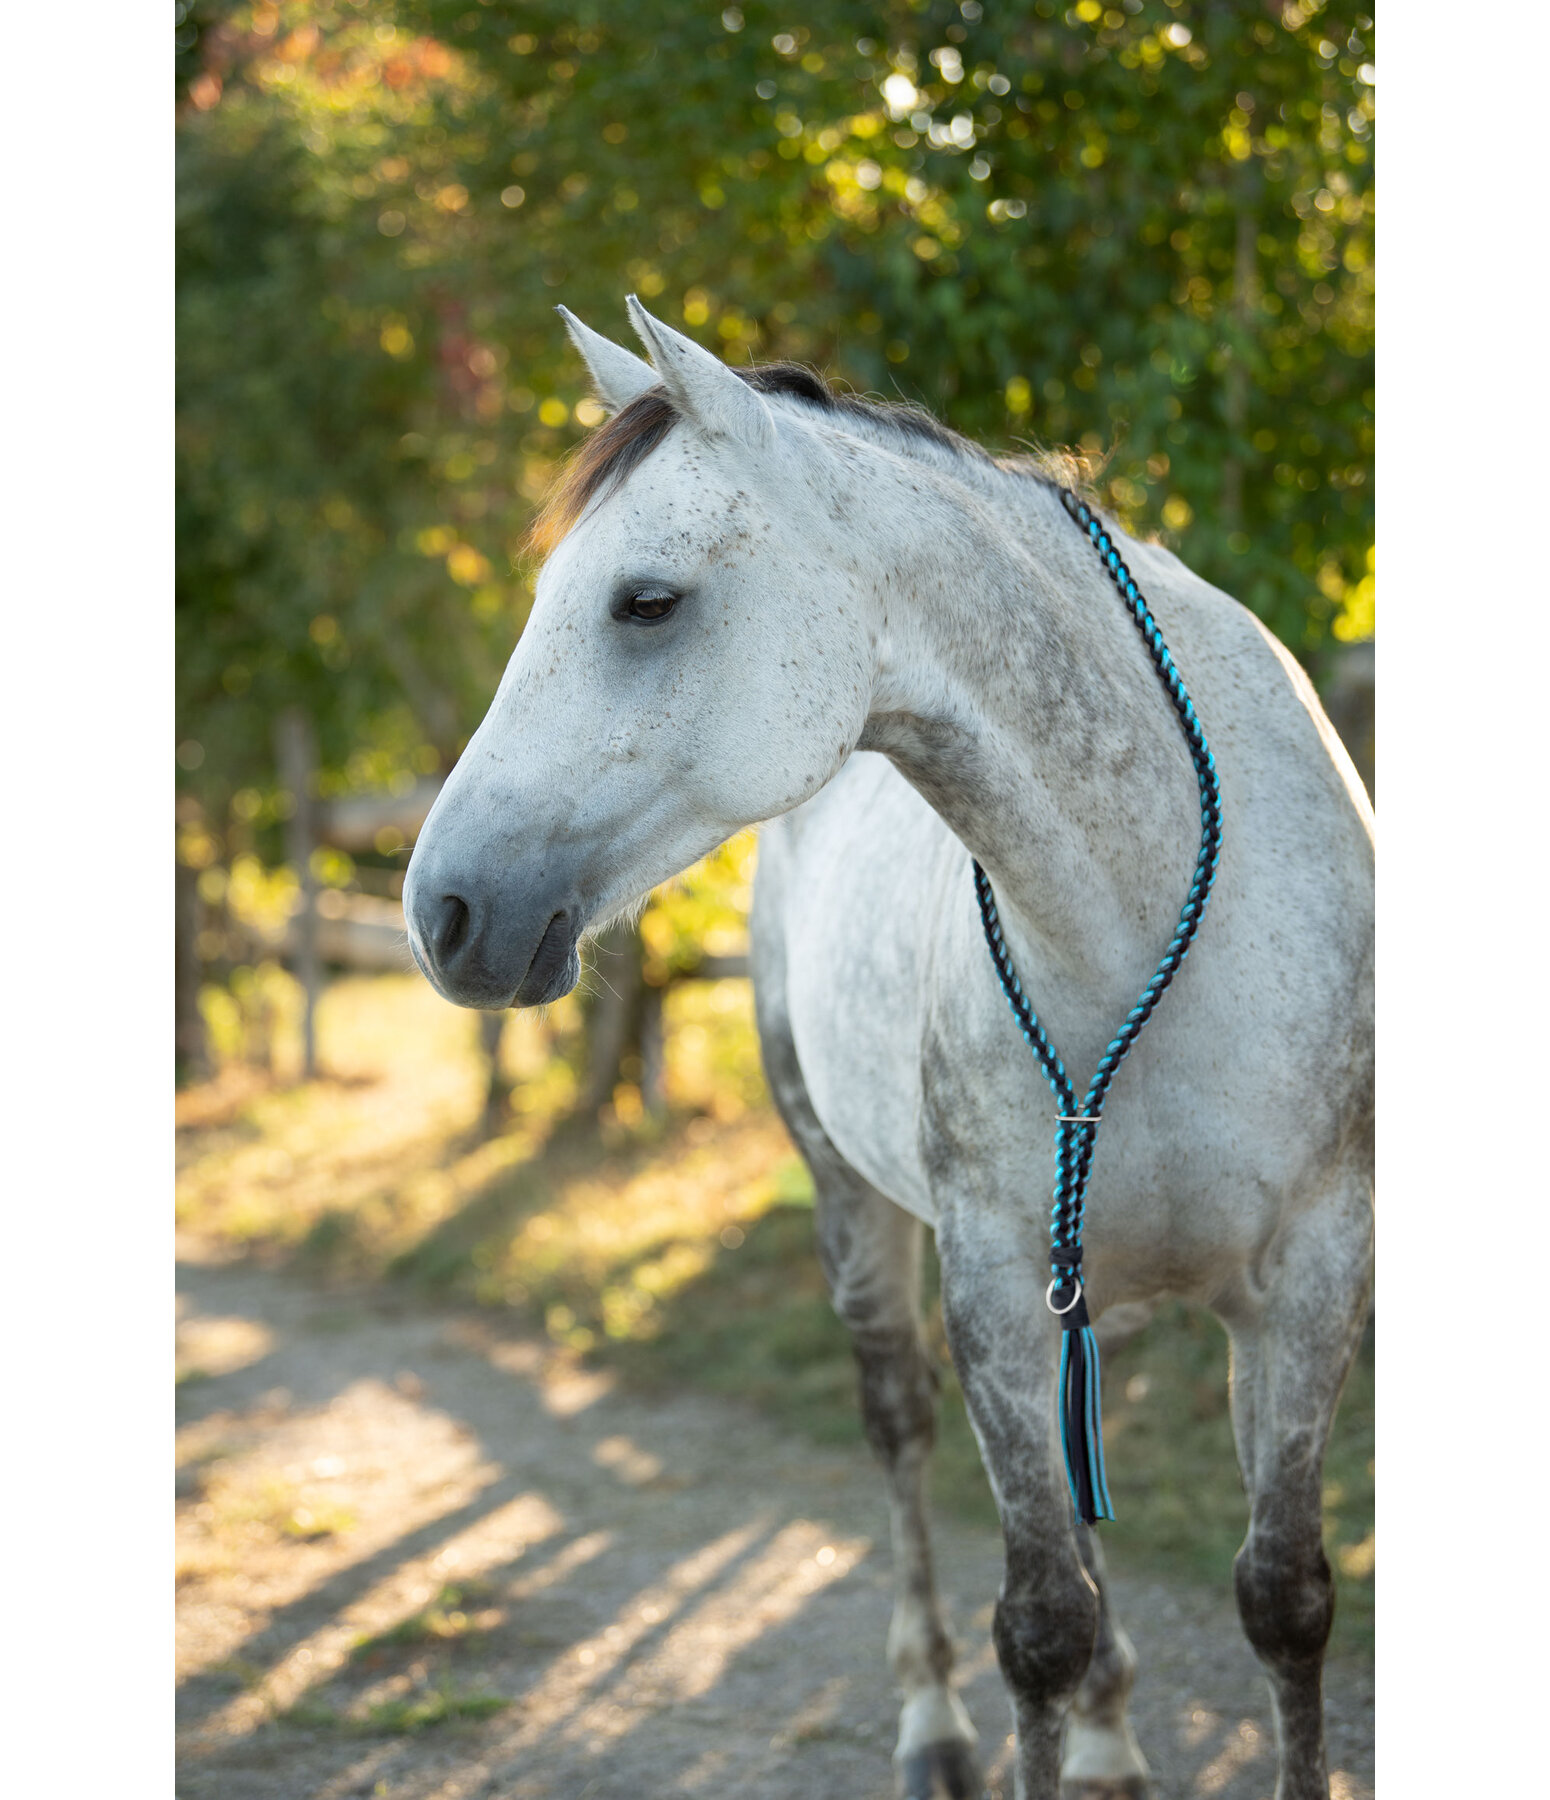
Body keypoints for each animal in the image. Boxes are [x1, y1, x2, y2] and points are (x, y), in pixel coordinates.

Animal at [405, 298, 1375, 1800]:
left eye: (644, 601)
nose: (444, 912)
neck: (1151, 900)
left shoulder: (1313, 1277)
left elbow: (1283, 1599)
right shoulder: (991, 1284)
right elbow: (1036, 1623)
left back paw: (1111, 1737)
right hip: (852, 1203)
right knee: (904, 1436)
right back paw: (935, 1725)